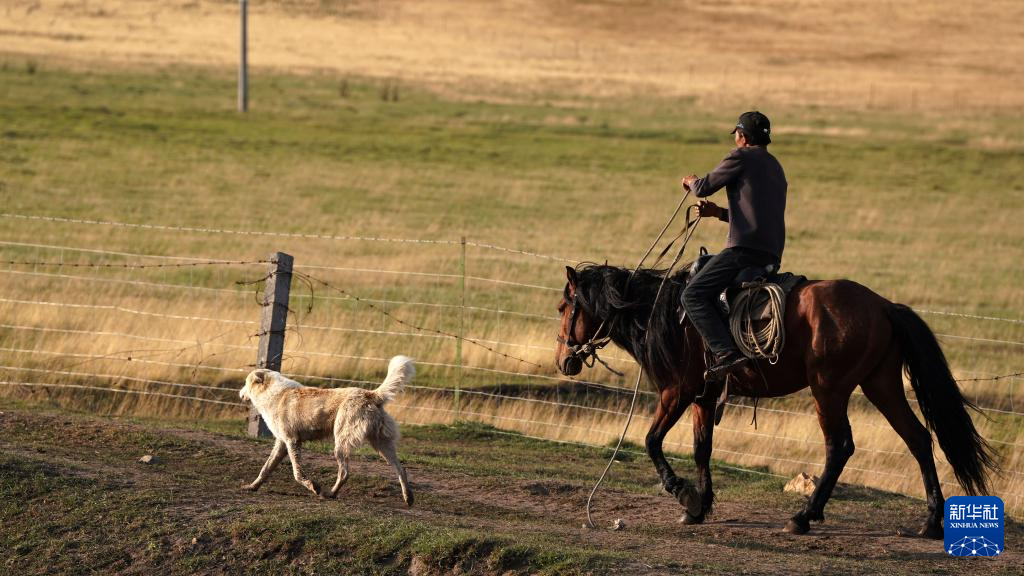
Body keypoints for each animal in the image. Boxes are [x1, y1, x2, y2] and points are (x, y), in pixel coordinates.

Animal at [239, 352, 415, 504]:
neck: (273, 392)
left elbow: (297, 474)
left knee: (344, 473)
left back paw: (330, 494)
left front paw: (314, 487)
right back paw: (408, 498)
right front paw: (252, 487)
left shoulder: (292, 441)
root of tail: (371, 394)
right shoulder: (281, 443)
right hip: (382, 444)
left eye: (245, 383)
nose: (239, 394)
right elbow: (265, 469)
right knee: (401, 469)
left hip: (341, 444)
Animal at [557, 262, 995, 537]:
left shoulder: (676, 391)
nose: (563, 360)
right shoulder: (703, 397)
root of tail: (884, 306)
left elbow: (652, 441)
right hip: (880, 385)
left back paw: (804, 516)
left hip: (829, 390)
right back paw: (930, 523)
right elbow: (702, 449)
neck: (663, 314)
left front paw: (681, 491)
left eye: (564, 306)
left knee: (840, 446)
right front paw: (699, 507)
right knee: (918, 438)